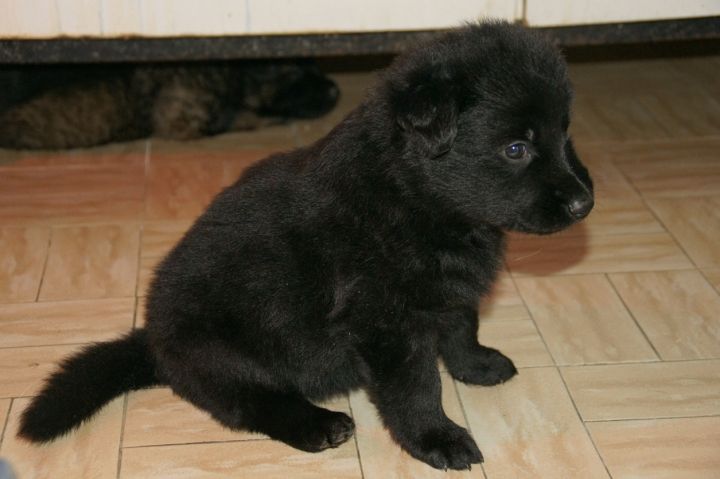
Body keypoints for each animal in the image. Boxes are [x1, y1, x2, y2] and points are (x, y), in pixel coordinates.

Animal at [0, 60, 338, 150]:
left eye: (316, 64)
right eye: (296, 73)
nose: (336, 91)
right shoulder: (182, 122)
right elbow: (237, 117)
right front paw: (269, 117)